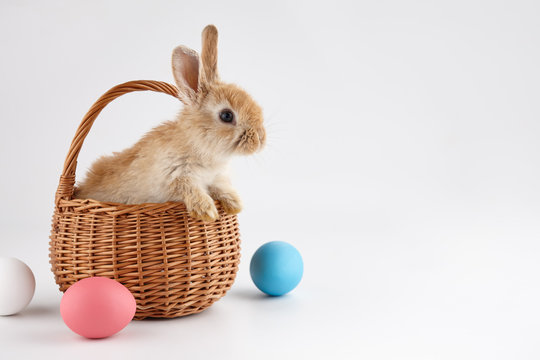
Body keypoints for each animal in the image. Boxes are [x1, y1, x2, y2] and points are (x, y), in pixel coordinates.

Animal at [74, 24, 266, 222]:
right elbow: (190, 190)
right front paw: (207, 211)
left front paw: (235, 203)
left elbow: (220, 187)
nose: (260, 140)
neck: (200, 145)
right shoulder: (175, 177)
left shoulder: (216, 178)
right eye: (226, 115)